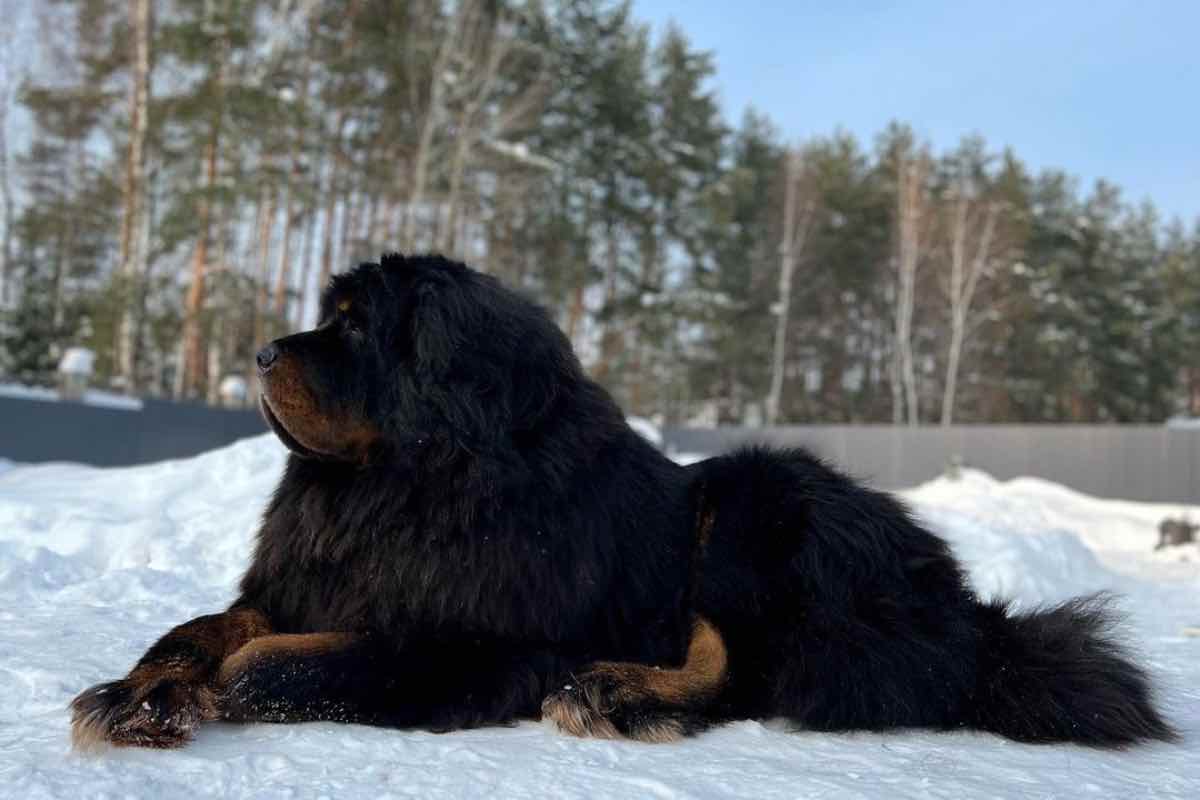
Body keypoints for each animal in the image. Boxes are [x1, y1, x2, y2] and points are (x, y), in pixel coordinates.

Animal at [70, 255, 1176, 753]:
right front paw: (141, 690)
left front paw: (189, 695)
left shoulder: (469, 644)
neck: (404, 486)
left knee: (744, 668)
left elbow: (267, 661)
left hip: (748, 505)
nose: (260, 352)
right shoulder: (307, 580)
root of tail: (967, 611)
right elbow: (206, 629)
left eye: (352, 325)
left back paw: (614, 690)